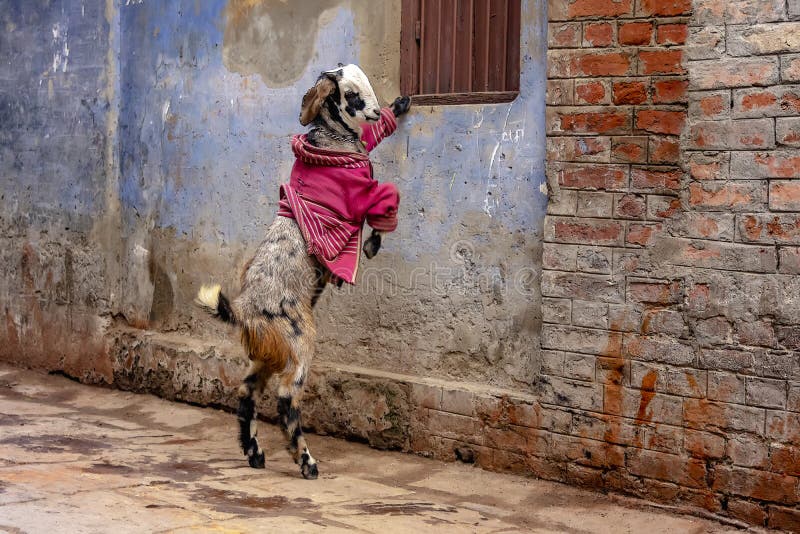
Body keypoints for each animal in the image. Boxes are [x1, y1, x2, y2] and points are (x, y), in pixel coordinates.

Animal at [195, 63, 412, 482]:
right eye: (352, 95)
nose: (377, 111)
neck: (330, 143)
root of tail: (245, 307)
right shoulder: (362, 194)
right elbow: (388, 197)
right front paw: (372, 245)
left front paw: (399, 108)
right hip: (298, 343)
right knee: (285, 397)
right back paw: (307, 463)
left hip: (267, 351)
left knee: (246, 392)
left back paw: (255, 453)